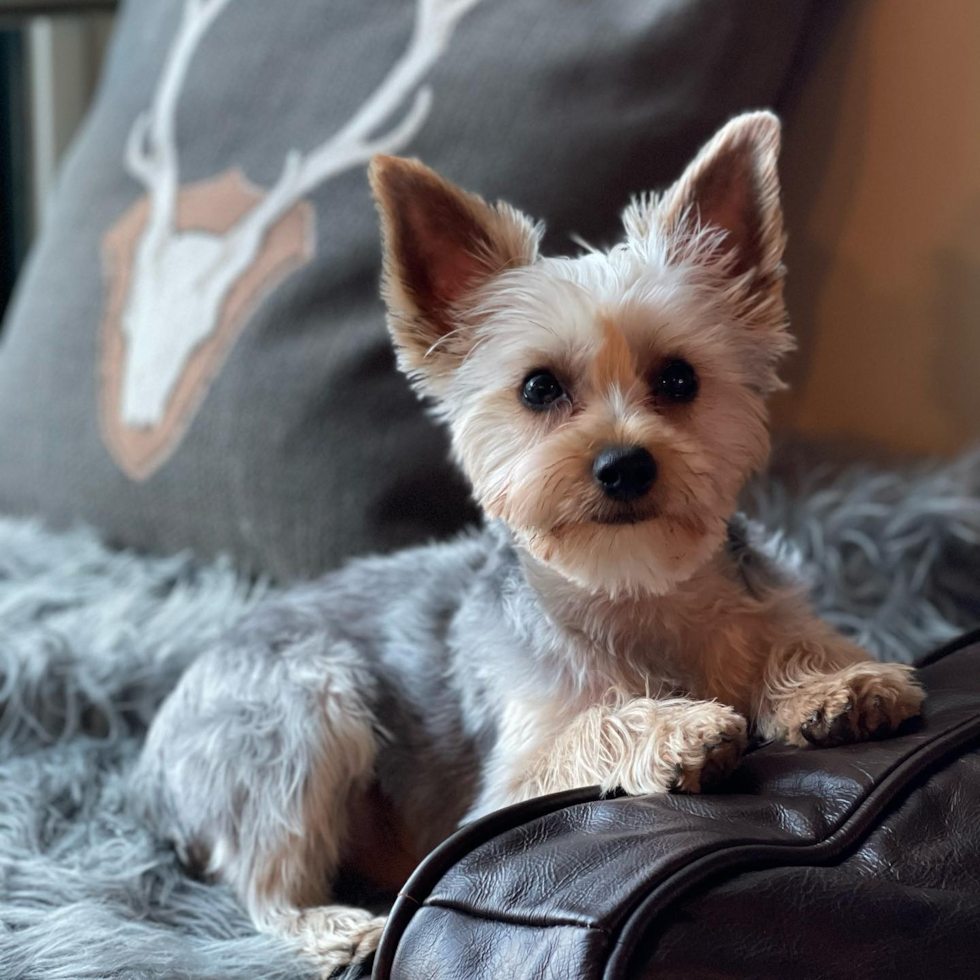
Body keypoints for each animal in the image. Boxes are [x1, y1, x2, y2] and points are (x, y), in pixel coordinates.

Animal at [136, 113, 928, 972]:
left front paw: (832, 684)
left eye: (680, 379)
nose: (624, 464)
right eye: (539, 388)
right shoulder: (507, 789)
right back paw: (337, 929)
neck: (635, 585)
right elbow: (591, 726)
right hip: (305, 709)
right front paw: (675, 726)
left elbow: (794, 642)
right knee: (265, 883)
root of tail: (151, 758)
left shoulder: (763, 609)